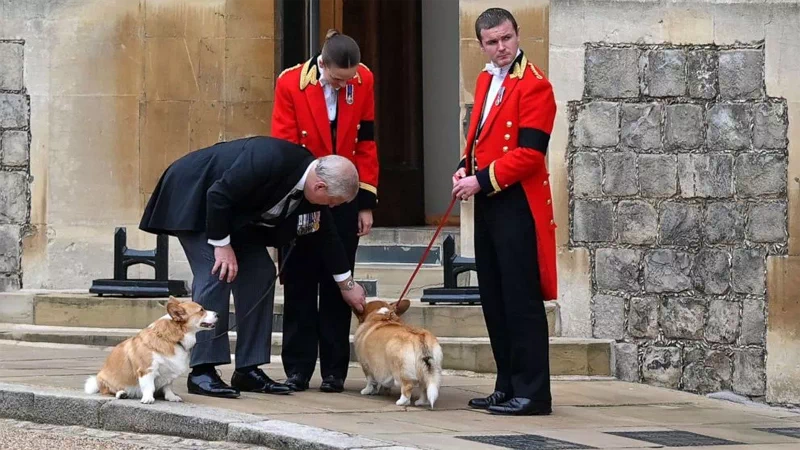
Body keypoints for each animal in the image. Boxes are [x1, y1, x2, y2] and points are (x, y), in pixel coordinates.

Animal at [83, 296, 219, 404]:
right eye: (201, 310)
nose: (218, 314)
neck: (172, 338)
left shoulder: (169, 372)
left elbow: (168, 386)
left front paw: (171, 397)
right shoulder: (147, 370)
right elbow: (149, 386)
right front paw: (148, 398)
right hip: (104, 379)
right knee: (109, 390)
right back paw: (121, 393)